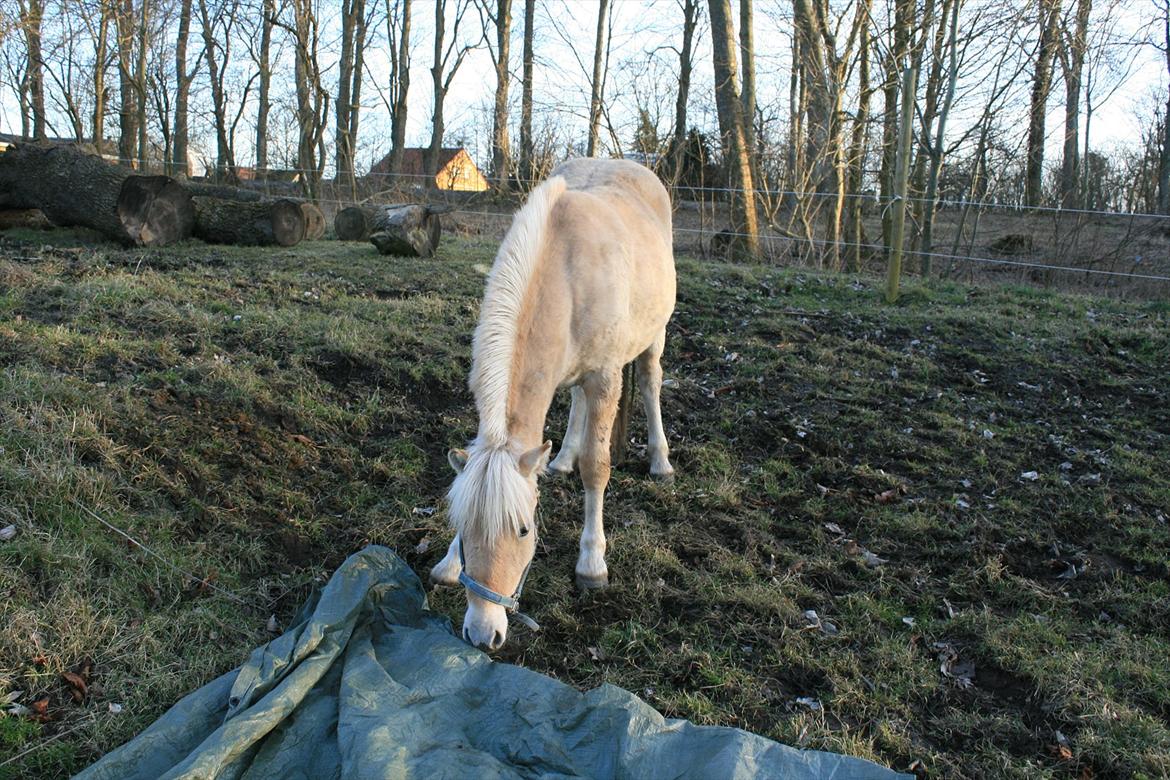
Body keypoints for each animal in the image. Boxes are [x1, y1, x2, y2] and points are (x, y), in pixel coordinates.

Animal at [430, 159, 678, 654]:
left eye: (524, 530)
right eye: (463, 527)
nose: (482, 634)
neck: (563, 267)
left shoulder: (605, 377)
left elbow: (597, 469)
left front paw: (592, 565)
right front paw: (449, 562)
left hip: (652, 336)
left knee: (649, 382)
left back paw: (660, 461)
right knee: (576, 402)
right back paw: (560, 459)